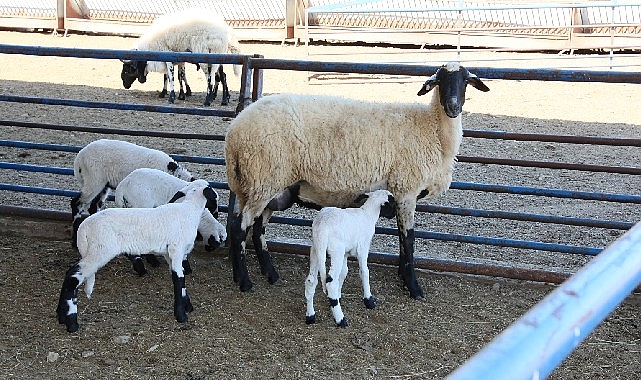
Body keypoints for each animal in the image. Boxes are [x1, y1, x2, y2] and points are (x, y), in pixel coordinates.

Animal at [56, 180, 215, 332]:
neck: (189, 211)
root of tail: (84, 227)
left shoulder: (169, 254)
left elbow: (179, 278)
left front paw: (187, 306)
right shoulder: (177, 250)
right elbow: (179, 279)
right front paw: (181, 316)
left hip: (94, 251)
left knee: (70, 273)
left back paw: (61, 316)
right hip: (100, 251)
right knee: (73, 276)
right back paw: (71, 323)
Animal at [222, 61, 488, 300]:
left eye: (465, 80)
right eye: (440, 81)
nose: (453, 106)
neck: (432, 129)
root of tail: (234, 133)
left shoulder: (400, 194)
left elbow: (402, 238)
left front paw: (404, 279)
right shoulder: (406, 189)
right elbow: (409, 239)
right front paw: (414, 288)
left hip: (266, 186)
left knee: (256, 228)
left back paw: (269, 274)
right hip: (263, 178)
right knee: (238, 227)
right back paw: (244, 281)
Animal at [304, 190, 396, 326]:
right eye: (393, 203)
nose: (394, 215)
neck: (368, 215)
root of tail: (322, 228)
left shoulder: (345, 253)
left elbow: (344, 272)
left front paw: (338, 296)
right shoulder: (363, 248)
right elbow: (364, 271)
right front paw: (369, 300)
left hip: (316, 250)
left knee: (311, 281)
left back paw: (310, 316)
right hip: (336, 250)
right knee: (330, 282)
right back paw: (340, 319)